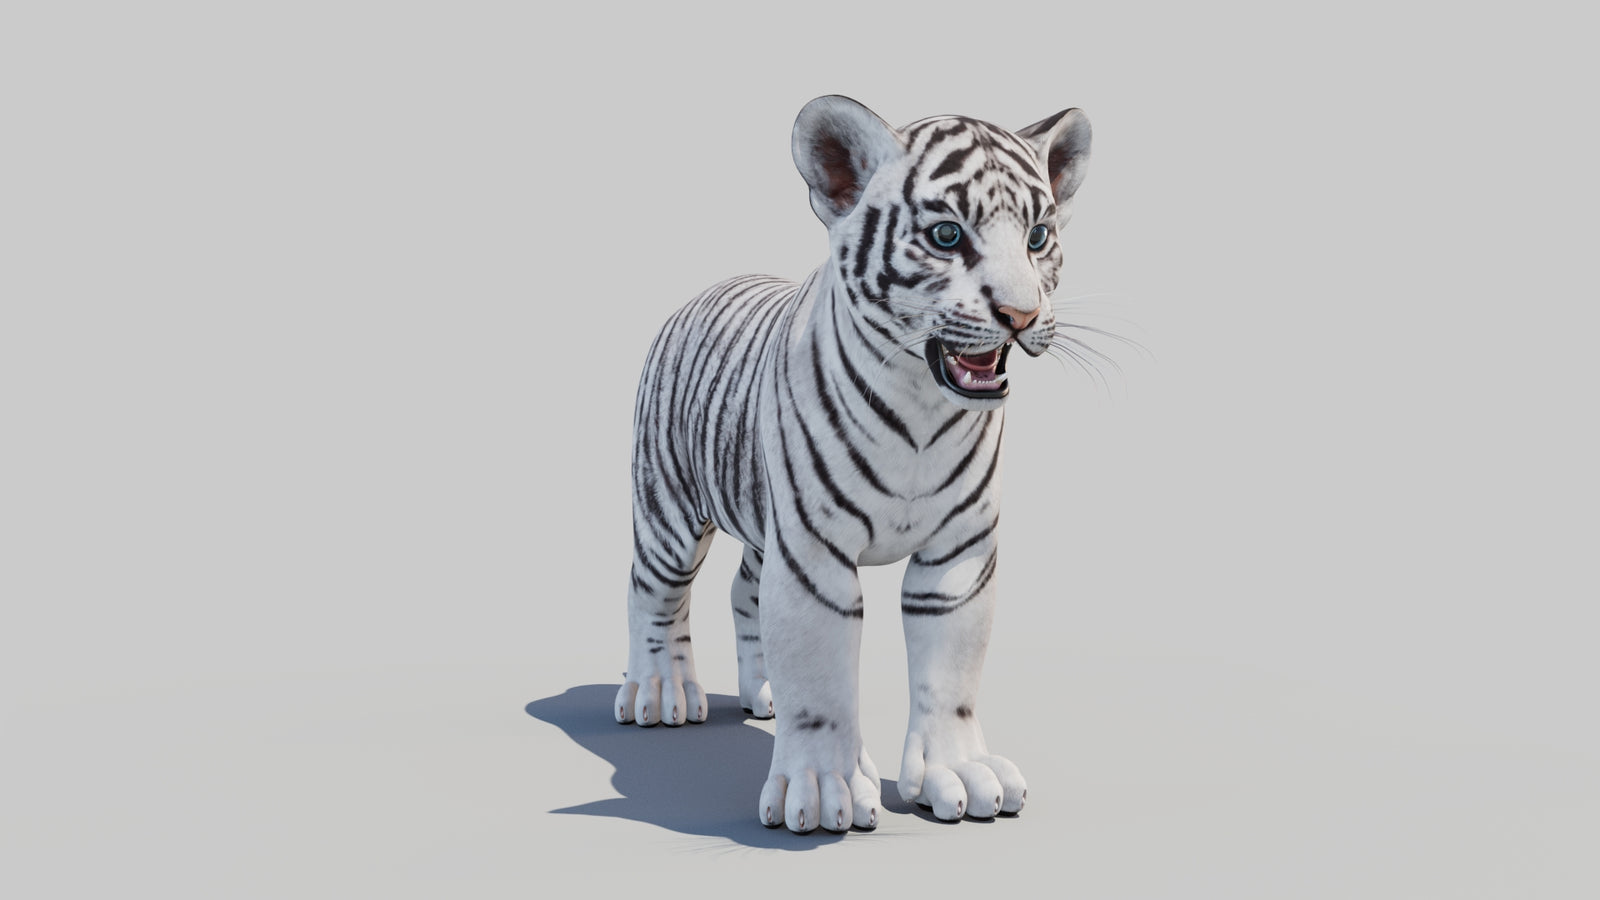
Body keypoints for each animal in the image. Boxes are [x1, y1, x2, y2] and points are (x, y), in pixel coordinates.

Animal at [613, 95, 1092, 834]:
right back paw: (660, 693)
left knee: (744, 592)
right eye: (947, 235)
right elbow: (821, 676)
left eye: (1038, 237)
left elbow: (951, 673)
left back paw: (763, 693)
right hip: (669, 509)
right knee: (653, 593)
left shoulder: (957, 555)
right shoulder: (813, 555)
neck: (922, 407)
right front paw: (821, 789)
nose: (1021, 314)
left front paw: (959, 774)